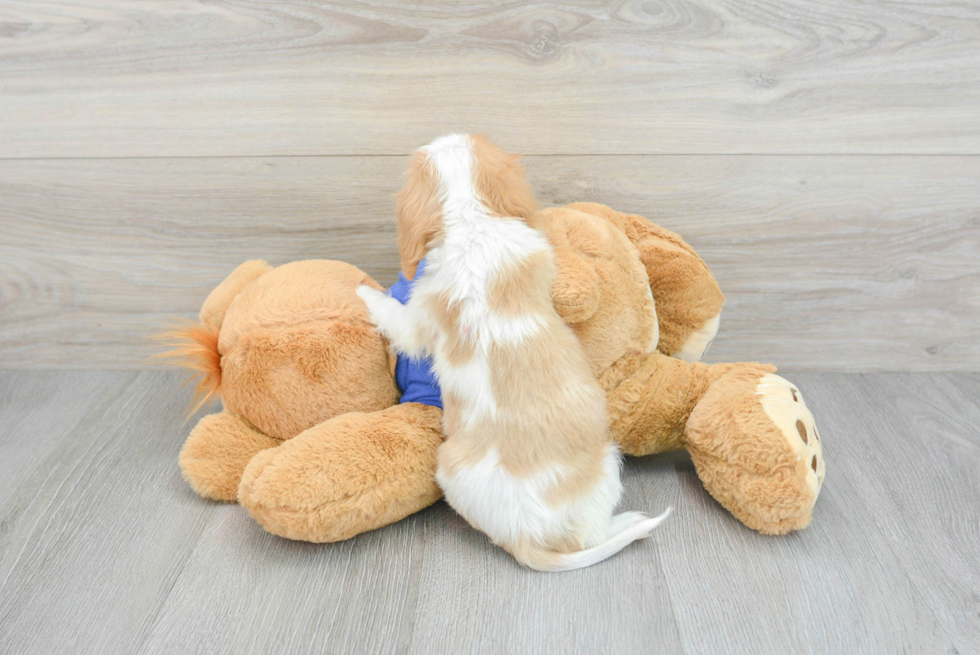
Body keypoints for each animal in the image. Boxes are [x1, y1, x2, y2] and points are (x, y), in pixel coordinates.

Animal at [360, 136, 672, 572]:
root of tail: (523, 538)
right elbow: (388, 312)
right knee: (588, 537)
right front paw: (362, 289)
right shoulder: (418, 321)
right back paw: (629, 523)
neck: (473, 222)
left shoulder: (419, 317)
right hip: (604, 461)